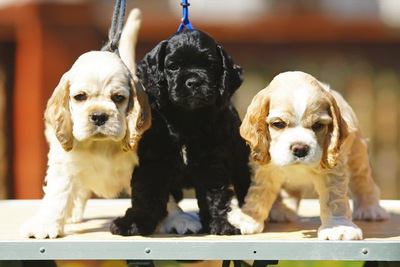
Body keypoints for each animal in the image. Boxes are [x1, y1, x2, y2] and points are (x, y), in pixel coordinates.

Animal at [19, 8, 150, 240]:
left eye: (118, 98)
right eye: (80, 97)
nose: (99, 116)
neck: (101, 145)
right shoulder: (63, 164)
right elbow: (58, 193)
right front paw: (45, 224)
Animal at [109, 29, 252, 237]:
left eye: (210, 65)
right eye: (173, 66)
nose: (194, 82)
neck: (186, 118)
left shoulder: (212, 163)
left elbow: (213, 196)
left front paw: (219, 224)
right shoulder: (153, 162)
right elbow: (147, 194)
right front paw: (133, 224)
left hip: (240, 159)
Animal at [228, 70, 388, 241]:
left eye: (318, 125)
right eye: (278, 124)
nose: (300, 149)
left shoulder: (332, 170)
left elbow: (334, 199)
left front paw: (339, 228)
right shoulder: (265, 169)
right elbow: (257, 195)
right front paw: (246, 219)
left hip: (358, 156)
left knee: (363, 182)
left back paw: (370, 209)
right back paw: (282, 210)